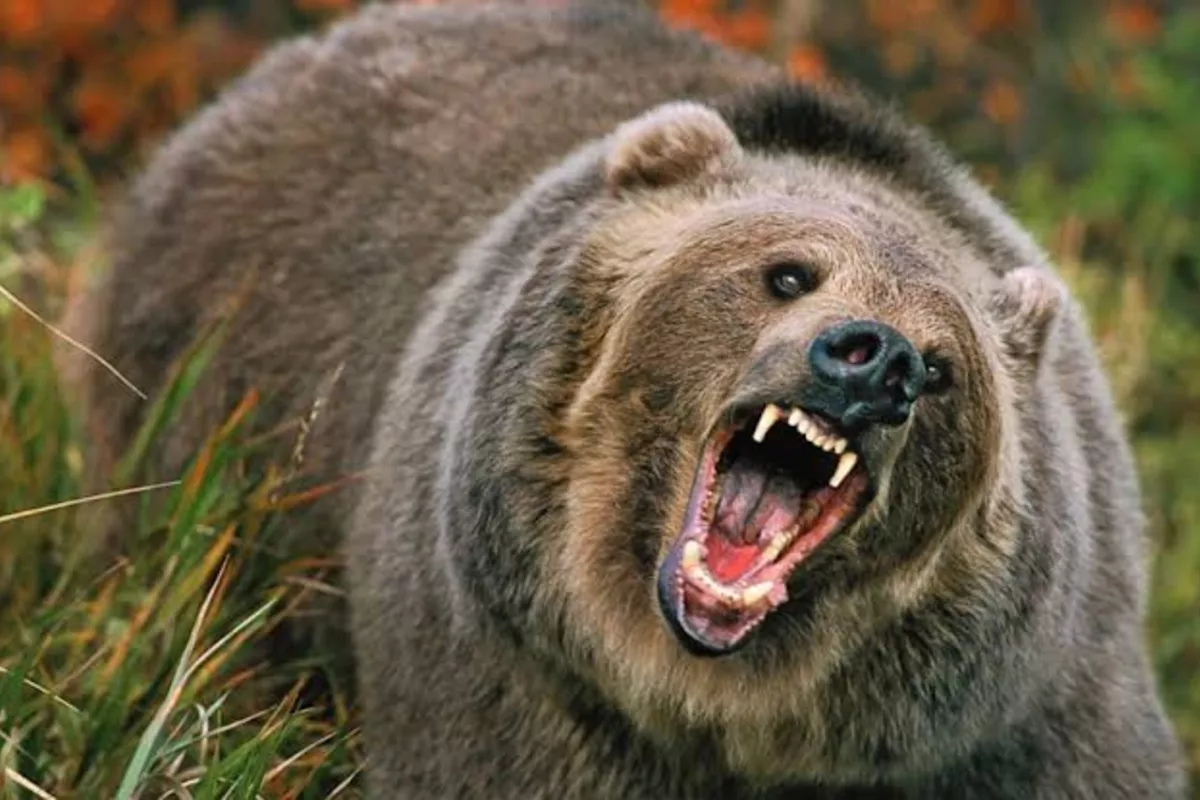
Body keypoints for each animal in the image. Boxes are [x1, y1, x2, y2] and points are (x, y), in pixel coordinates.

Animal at [68, 0, 1187, 797]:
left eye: (948, 366)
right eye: (788, 272)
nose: (878, 362)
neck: (723, 706)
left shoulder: (1020, 718)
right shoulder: (513, 676)